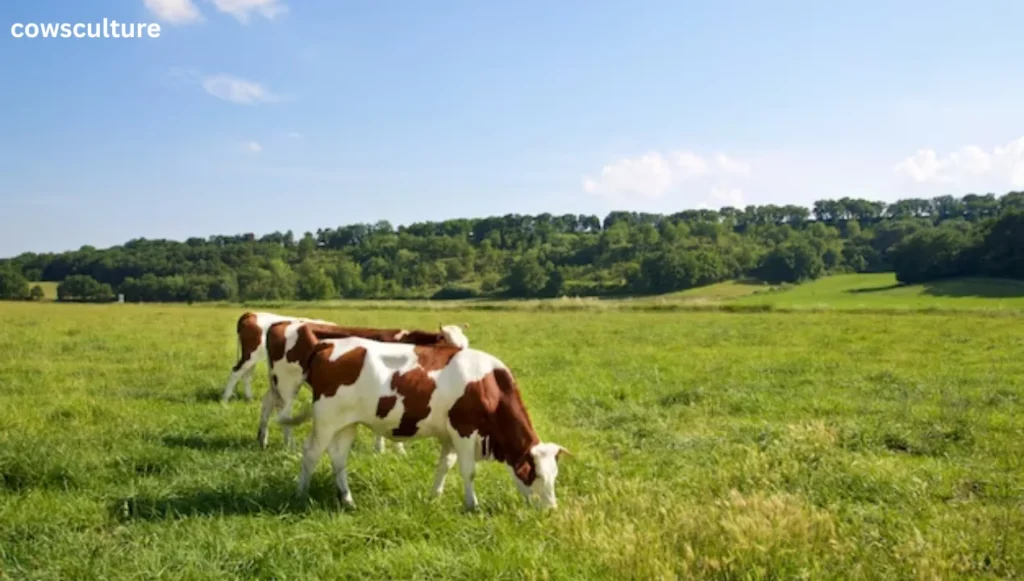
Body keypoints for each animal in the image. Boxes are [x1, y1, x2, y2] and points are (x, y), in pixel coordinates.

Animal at [258, 319, 468, 452]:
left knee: (267, 403)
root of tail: (281, 323)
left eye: (466, 344)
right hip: (287, 381)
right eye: (449, 342)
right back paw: (289, 445)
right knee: (283, 411)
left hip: (276, 380)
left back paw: (262, 439)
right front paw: (391, 450)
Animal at [276, 325, 573, 512]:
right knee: (311, 453)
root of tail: (327, 344)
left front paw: (434, 496)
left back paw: (348, 500)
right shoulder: (464, 430)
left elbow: (445, 466)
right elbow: (469, 470)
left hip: (346, 422)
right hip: (325, 419)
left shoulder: (450, 435)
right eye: (534, 474)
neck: (489, 386)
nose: (551, 509)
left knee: (338, 457)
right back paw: (301, 494)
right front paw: (472, 505)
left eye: (555, 475)